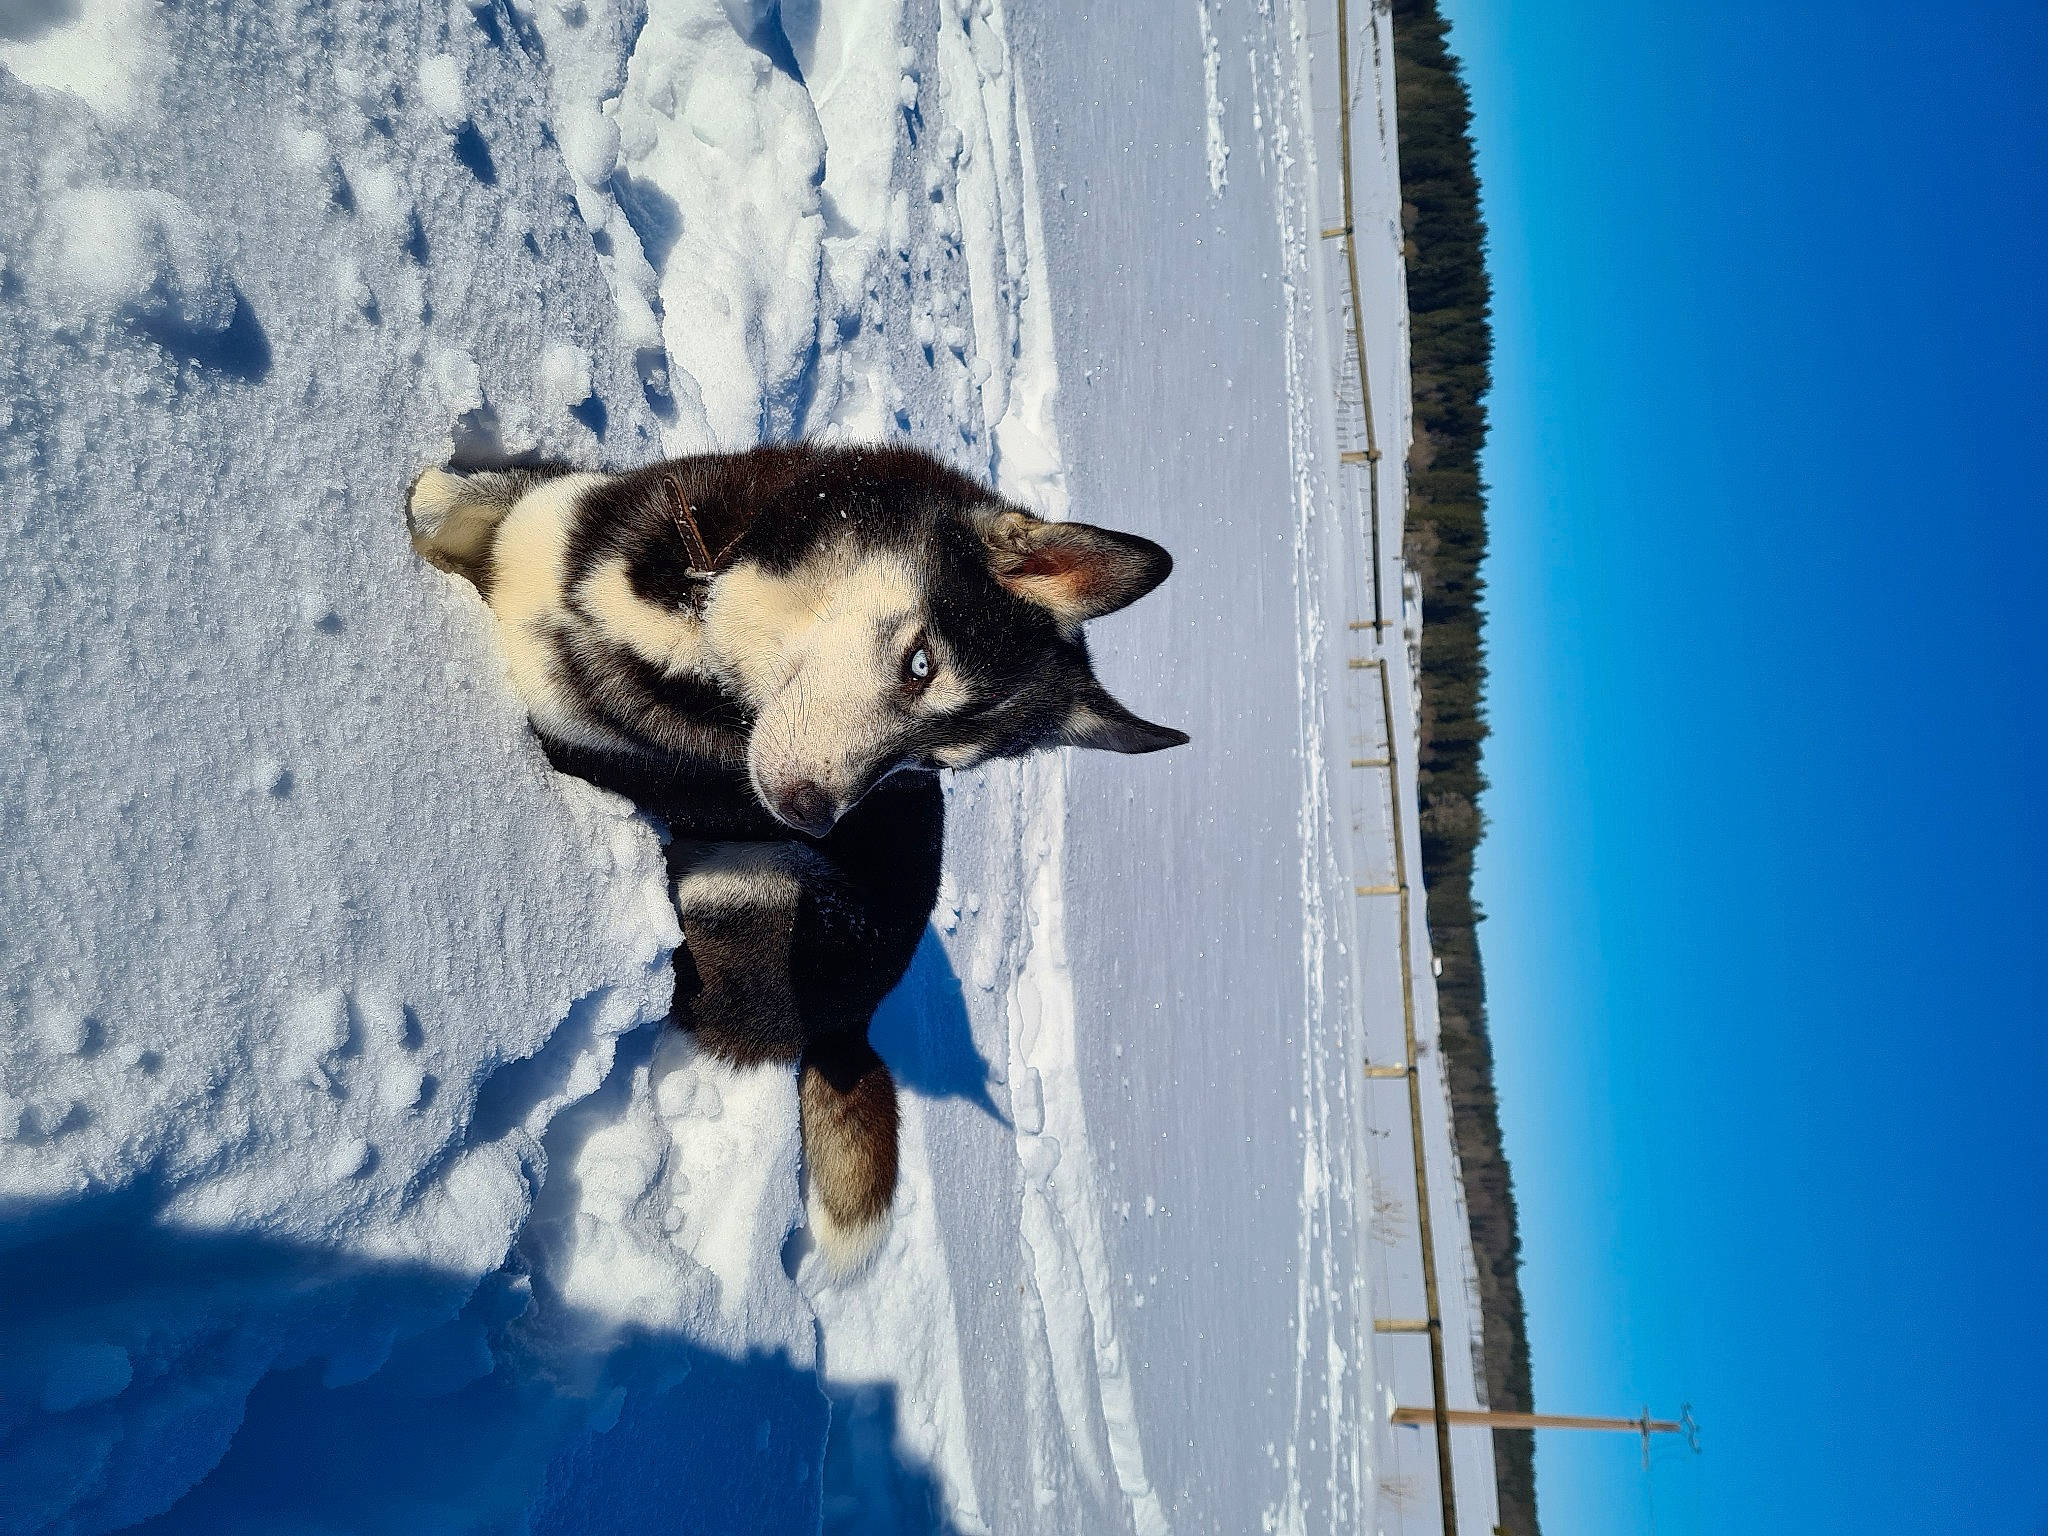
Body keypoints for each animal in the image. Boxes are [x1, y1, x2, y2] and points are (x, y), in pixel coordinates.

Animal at [408, 443, 1184, 1270]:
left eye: (933, 762)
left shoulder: (574, 738)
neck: (701, 612)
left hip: (761, 889)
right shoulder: (556, 520)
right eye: (920, 666)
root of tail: (852, 1025)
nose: (813, 815)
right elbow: (451, 497)